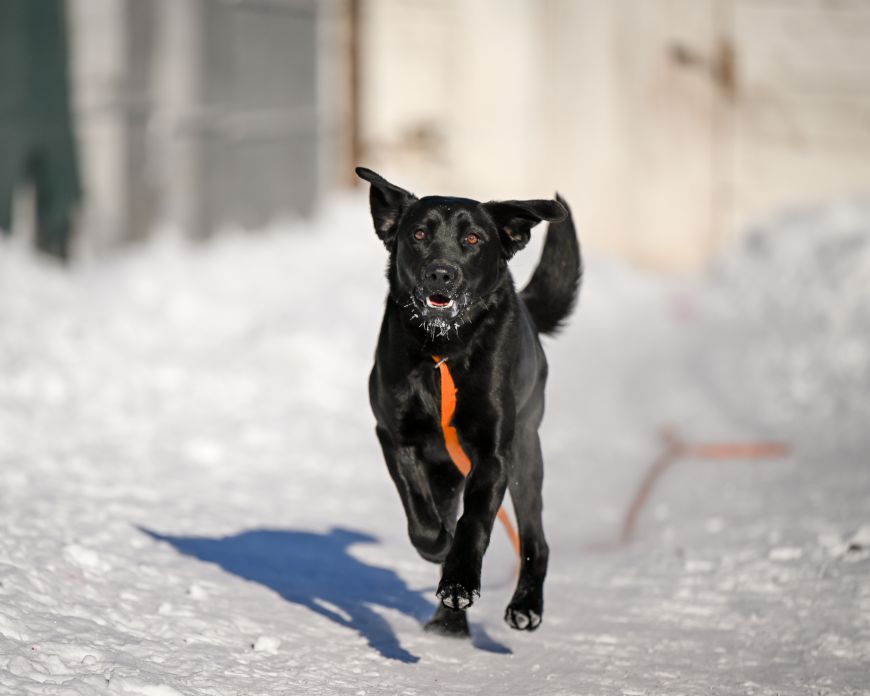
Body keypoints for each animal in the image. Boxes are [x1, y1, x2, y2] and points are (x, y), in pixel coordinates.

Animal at [357, 167, 581, 636]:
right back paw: (448, 622)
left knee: (536, 538)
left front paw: (460, 581)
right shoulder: (395, 436)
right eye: (419, 234)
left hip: (526, 454)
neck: (444, 347)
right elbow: (420, 513)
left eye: (473, 239)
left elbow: (474, 522)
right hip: (448, 470)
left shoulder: (494, 453)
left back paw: (524, 605)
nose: (441, 274)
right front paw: (439, 551)